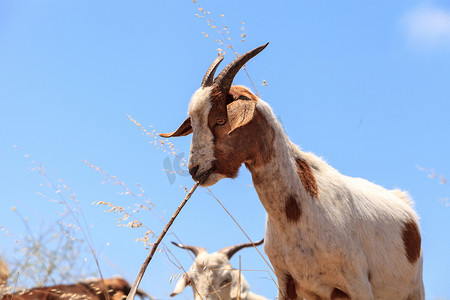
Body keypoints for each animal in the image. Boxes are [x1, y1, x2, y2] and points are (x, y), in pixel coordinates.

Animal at [161, 44, 426, 300]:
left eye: (219, 120)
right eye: (193, 123)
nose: (195, 169)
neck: (300, 212)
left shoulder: (357, 283)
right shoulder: (287, 282)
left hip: (414, 289)